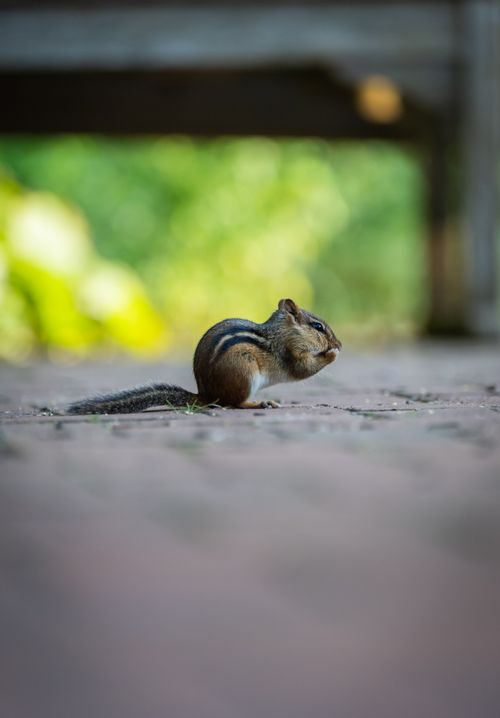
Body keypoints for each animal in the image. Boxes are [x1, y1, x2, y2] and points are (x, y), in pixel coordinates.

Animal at [67, 298, 341, 414]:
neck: (282, 332)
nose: (339, 343)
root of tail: (206, 395)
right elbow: (302, 369)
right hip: (244, 372)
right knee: (234, 403)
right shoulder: (290, 353)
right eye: (318, 327)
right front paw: (331, 354)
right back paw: (260, 403)